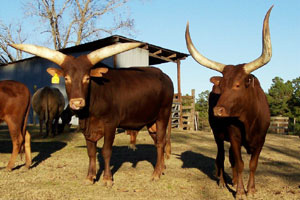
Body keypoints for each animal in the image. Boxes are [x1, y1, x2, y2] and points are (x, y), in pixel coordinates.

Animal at [9, 41, 173, 187]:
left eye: (87, 78)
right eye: (66, 78)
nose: (77, 103)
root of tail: (165, 77)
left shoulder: (110, 124)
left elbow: (106, 151)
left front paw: (107, 179)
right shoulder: (85, 127)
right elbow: (91, 152)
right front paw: (90, 177)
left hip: (163, 115)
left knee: (160, 142)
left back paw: (156, 174)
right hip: (151, 122)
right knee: (159, 142)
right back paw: (161, 168)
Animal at [185, 6, 274, 198]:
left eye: (238, 85)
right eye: (222, 86)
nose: (218, 110)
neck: (249, 120)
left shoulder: (261, 140)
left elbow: (252, 164)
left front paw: (251, 189)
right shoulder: (234, 137)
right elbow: (239, 163)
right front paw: (240, 191)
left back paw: (232, 179)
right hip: (217, 134)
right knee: (221, 156)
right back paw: (222, 181)